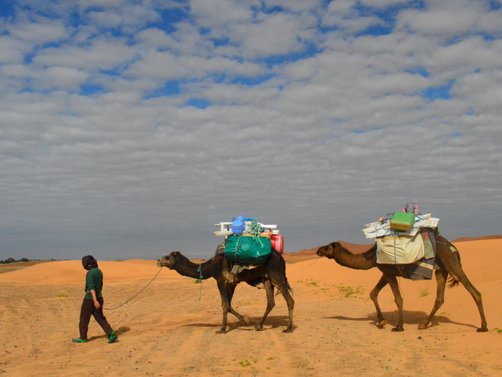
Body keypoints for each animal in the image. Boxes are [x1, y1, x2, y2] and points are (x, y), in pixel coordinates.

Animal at [157, 247, 294, 332]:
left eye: (167, 257)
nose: (158, 261)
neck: (210, 266)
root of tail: (281, 258)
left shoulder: (221, 281)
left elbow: (224, 305)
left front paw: (222, 329)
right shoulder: (231, 284)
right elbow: (228, 305)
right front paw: (244, 320)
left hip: (276, 276)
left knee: (289, 300)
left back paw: (288, 328)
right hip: (267, 279)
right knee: (271, 302)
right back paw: (259, 325)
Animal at [318, 235, 486, 332]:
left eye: (327, 247)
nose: (318, 250)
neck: (371, 256)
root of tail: (452, 247)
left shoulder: (388, 271)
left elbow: (398, 299)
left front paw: (398, 326)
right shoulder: (385, 272)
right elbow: (373, 293)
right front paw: (381, 321)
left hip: (451, 263)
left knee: (474, 292)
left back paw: (483, 327)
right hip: (441, 270)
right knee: (440, 298)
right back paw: (424, 325)